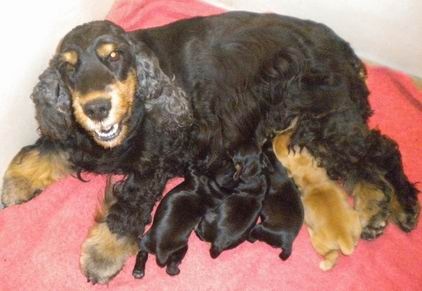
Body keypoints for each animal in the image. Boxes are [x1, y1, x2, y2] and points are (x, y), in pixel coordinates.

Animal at [276, 132, 362, 272]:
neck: (315, 182)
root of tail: (344, 237)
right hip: (356, 222)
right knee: (354, 243)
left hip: (319, 244)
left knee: (332, 255)